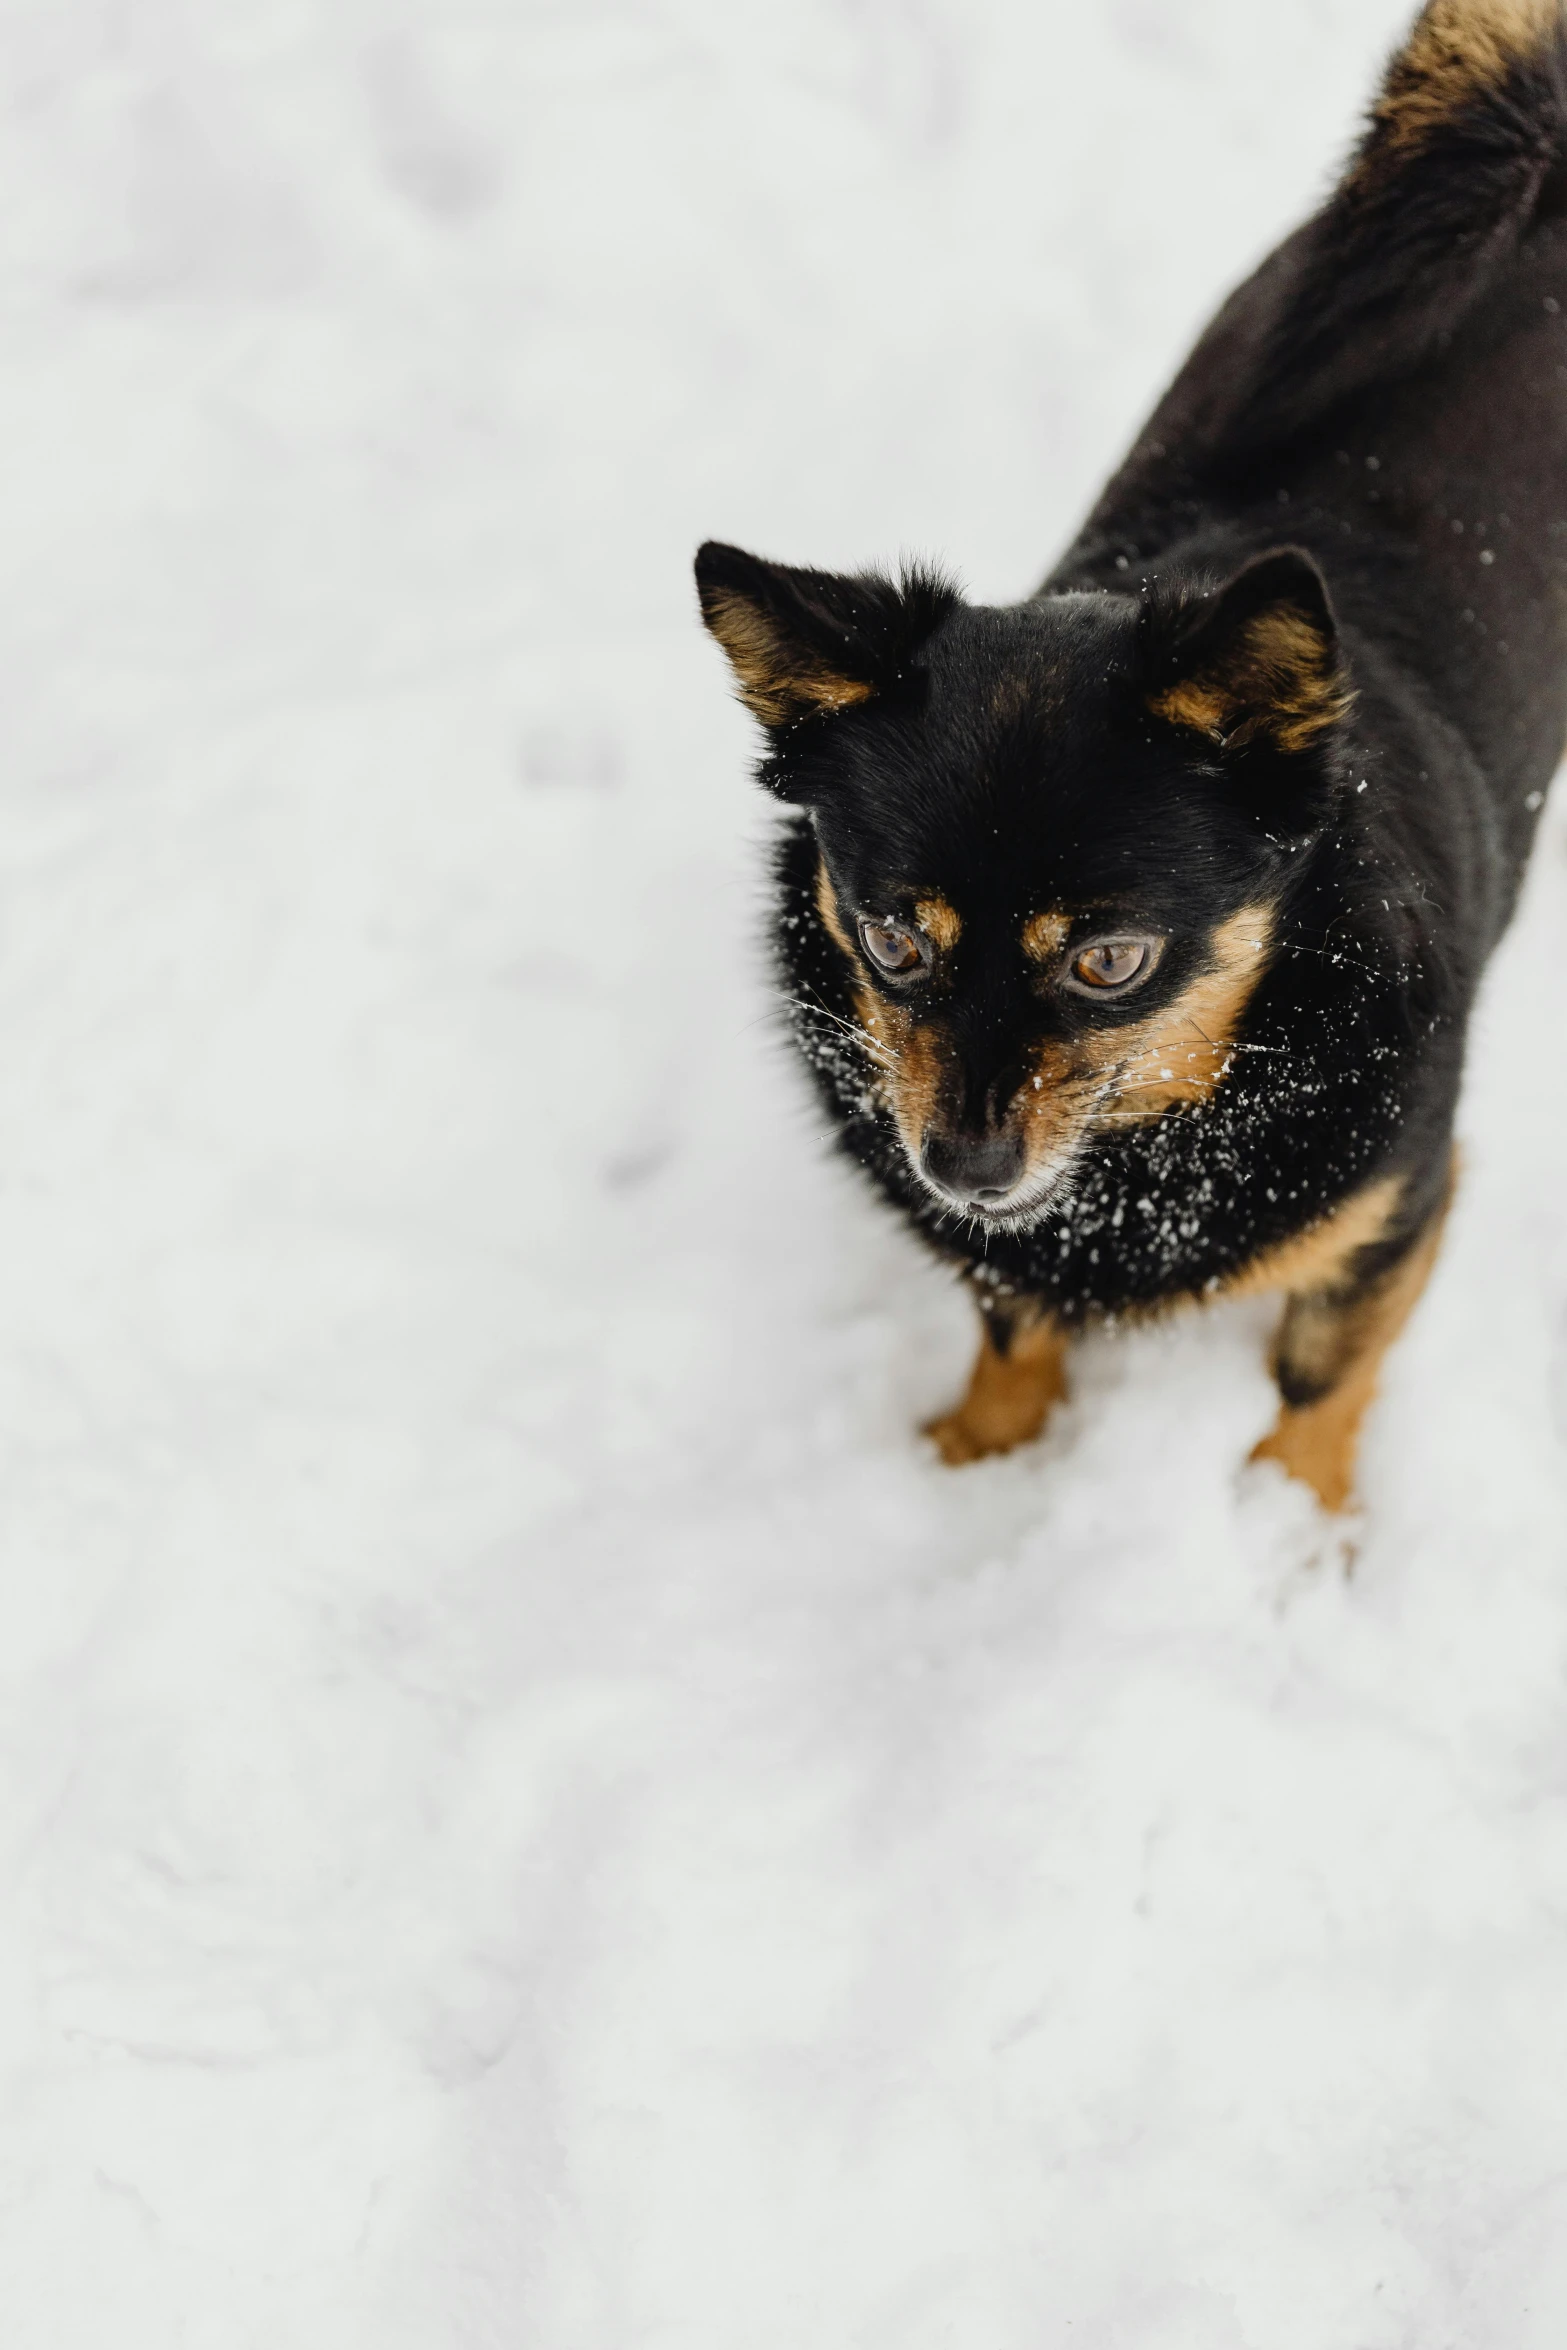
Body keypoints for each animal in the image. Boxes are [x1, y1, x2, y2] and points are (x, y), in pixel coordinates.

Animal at [695, 0, 1567, 1504]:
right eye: (892, 939)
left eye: (1109, 960)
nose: (964, 1164)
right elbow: (1007, 1323)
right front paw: (977, 1461)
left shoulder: (1397, 1211)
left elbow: (1322, 1378)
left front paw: (1290, 1528)